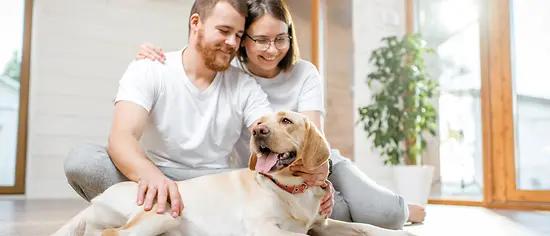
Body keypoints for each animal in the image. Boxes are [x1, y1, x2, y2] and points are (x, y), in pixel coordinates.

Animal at [52, 111, 418, 236]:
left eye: (286, 120)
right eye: (260, 122)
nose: (258, 131)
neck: (290, 189)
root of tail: (97, 199)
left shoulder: (323, 225)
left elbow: (365, 227)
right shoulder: (263, 229)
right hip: (165, 212)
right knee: (107, 234)